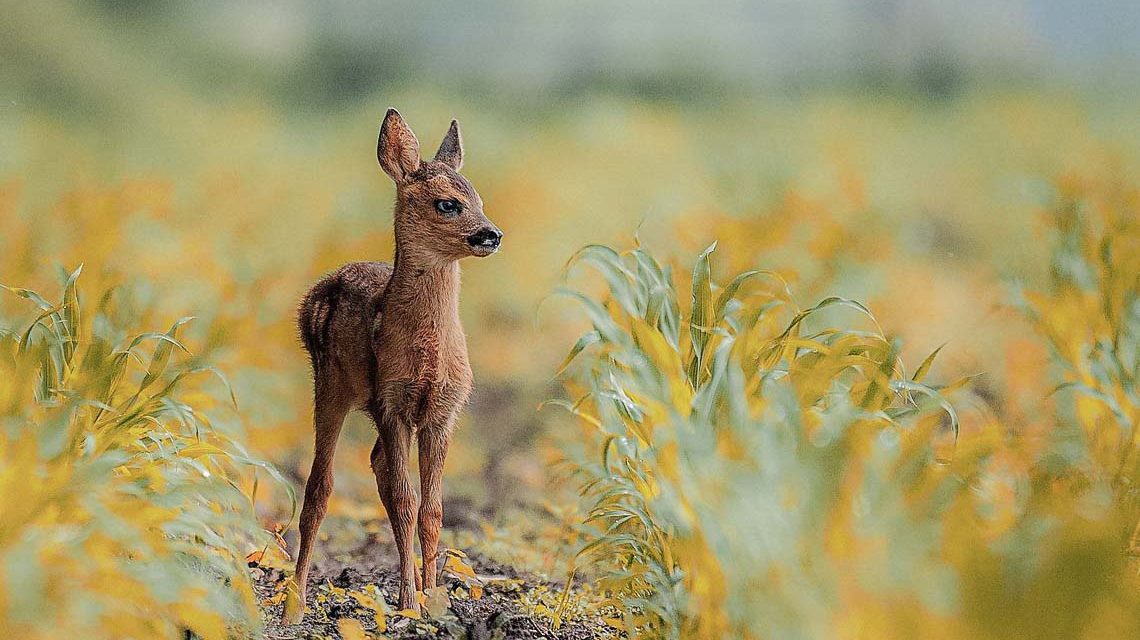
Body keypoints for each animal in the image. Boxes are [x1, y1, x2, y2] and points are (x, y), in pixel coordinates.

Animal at [284, 108, 502, 622]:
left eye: (479, 199)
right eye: (448, 204)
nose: (492, 234)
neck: (428, 356)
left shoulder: (443, 412)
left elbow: (433, 509)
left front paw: (435, 597)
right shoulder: (391, 401)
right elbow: (405, 502)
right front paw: (408, 602)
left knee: (376, 464)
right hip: (330, 385)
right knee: (319, 488)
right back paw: (294, 605)